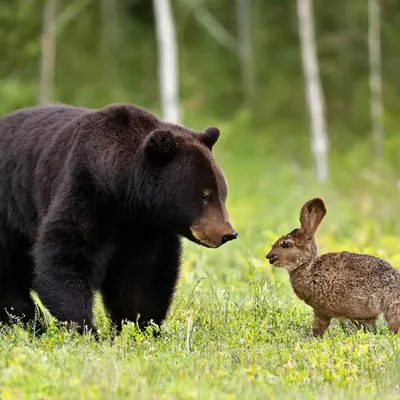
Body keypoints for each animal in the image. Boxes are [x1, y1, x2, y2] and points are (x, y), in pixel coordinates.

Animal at [0, 102, 236, 332]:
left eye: (222, 193)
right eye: (205, 194)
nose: (228, 234)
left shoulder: (146, 228)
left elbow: (144, 276)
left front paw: (140, 326)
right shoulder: (85, 194)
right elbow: (66, 256)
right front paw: (85, 328)